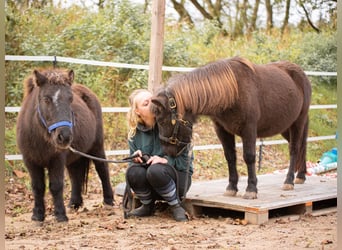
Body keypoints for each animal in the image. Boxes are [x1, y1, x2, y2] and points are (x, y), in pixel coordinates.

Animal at [17, 68, 113, 221]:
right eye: (46, 99)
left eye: (70, 99)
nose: (65, 136)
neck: (40, 137)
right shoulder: (30, 161)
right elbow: (37, 187)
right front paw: (37, 215)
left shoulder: (57, 160)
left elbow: (56, 185)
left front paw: (60, 216)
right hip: (74, 156)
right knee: (75, 175)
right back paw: (74, 203)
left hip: (97, 147)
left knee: (102, 169)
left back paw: (108, 201)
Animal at [151, 56, 312, 199]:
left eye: (162, 121)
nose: (168, 152)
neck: (234, 92)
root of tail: (301, 74)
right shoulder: (222, 130)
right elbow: (230, 157)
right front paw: (232, 187)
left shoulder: (249, 129)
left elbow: (249, 157)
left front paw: (251, 189)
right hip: (286, 127)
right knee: (301, 146)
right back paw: (301, 175)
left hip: (298, 122)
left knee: (294, 149)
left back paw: (289, 181)